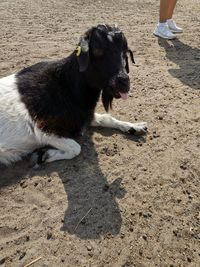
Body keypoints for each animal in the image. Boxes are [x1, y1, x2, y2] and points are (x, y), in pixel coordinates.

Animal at [0, 24, 147, 166]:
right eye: (97, 50)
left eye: (125, 52)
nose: (123, 81)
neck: (65, 84)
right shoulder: (44, 130)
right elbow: (75, 148)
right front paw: (43, 156)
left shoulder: (82, 116)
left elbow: (107, 118)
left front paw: (135, 127)